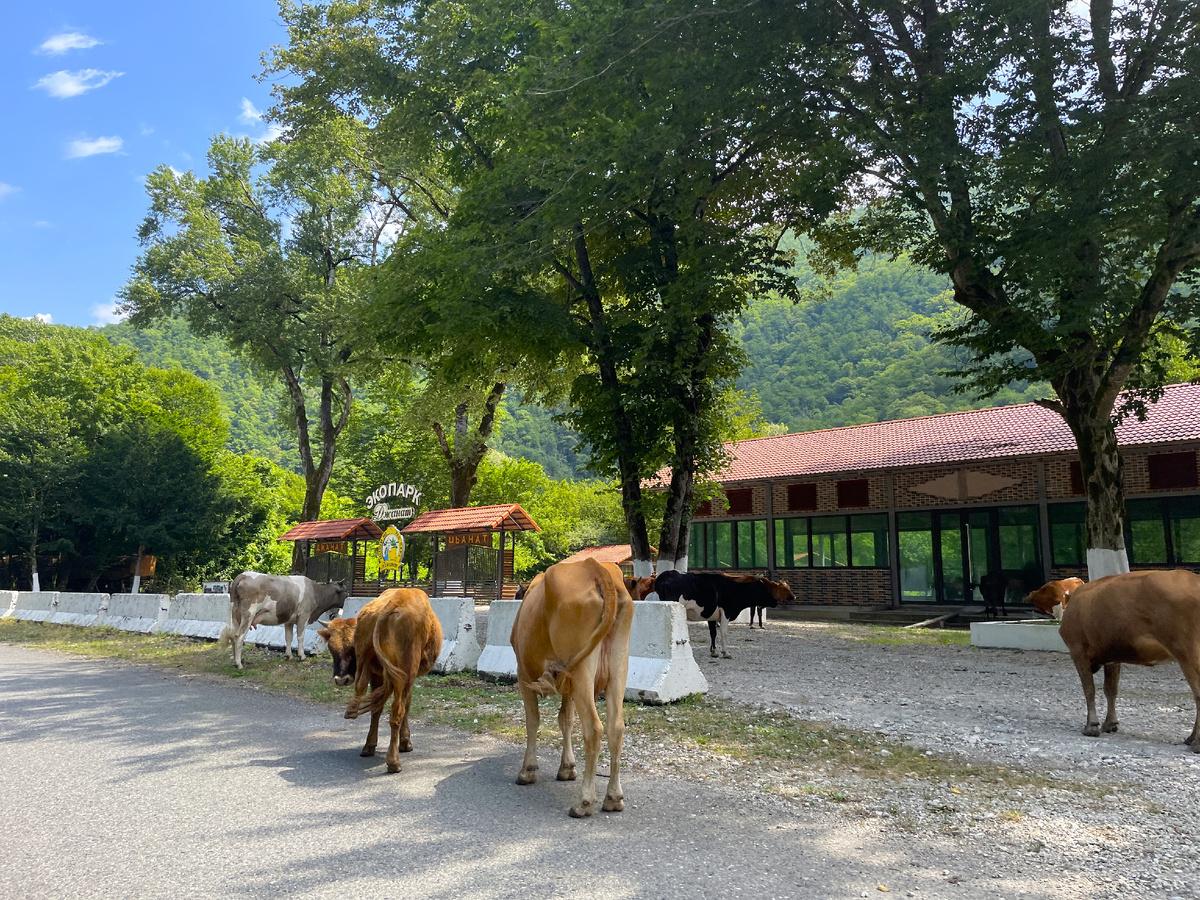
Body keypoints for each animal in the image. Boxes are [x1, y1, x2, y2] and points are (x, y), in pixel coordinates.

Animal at [220, 573, 348, 667]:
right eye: (346, 593)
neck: (316, 592)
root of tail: (243, 575)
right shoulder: (304, 615)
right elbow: (300, 636)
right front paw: (301, 656)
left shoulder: (289, 620)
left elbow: (288, 637)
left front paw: (288, 656)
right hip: (248, 614)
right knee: (239, 637)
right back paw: (239, 664)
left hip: (235, 615)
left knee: (233, 636)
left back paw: (237, 660)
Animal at [319, 592, 446, 777]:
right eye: (331, 648)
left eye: (351, 648)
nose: (341, 679)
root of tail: (391, 604)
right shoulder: (407, 678)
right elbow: (406, 706)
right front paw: (405, 742)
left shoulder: (376, 674)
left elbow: (376, 710)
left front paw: (371, 744)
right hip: (405, 673)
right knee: (396, 713)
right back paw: (393, 762)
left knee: (372, 703)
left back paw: (368, 747)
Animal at [508, 561, 633, 820]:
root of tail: (596, 568)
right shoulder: (568, 686)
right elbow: (565, 719)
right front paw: (567, 768)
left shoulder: (523, 675)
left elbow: (532, 720)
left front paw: (528, 770)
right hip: (617, 666)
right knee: (616, 727)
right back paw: (613, 798)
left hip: (582, 670)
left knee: (594, 728)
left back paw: (584, 802)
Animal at [652, 573, 792, 657]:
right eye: (765, 588)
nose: (775, 601)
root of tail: (666, 576)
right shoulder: (726, 612)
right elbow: (723, 632)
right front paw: (726, 652)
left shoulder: (711, 614)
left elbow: (713, 633)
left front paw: (714, 651)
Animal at [1027, 571, 1200, 753]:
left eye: (1045, 588)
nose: (1029, 593)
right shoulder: (1112, 658)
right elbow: (1110, 689)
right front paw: (1110, 724)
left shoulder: (1077, 651)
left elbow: (1089, 689)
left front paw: (1091, 726)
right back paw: (1190, 738)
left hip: (1187, 652)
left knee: (1198, 694)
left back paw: (1196, 743)